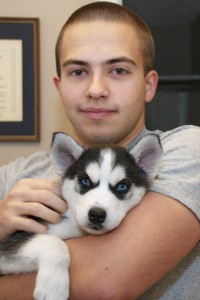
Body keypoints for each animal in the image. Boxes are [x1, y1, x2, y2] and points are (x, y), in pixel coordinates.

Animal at [0, 133, 162, 300]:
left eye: (122, 186)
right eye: (85, 181)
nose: (96, 214)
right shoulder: (10, 245)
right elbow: (53, 242)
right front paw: (53, 288)